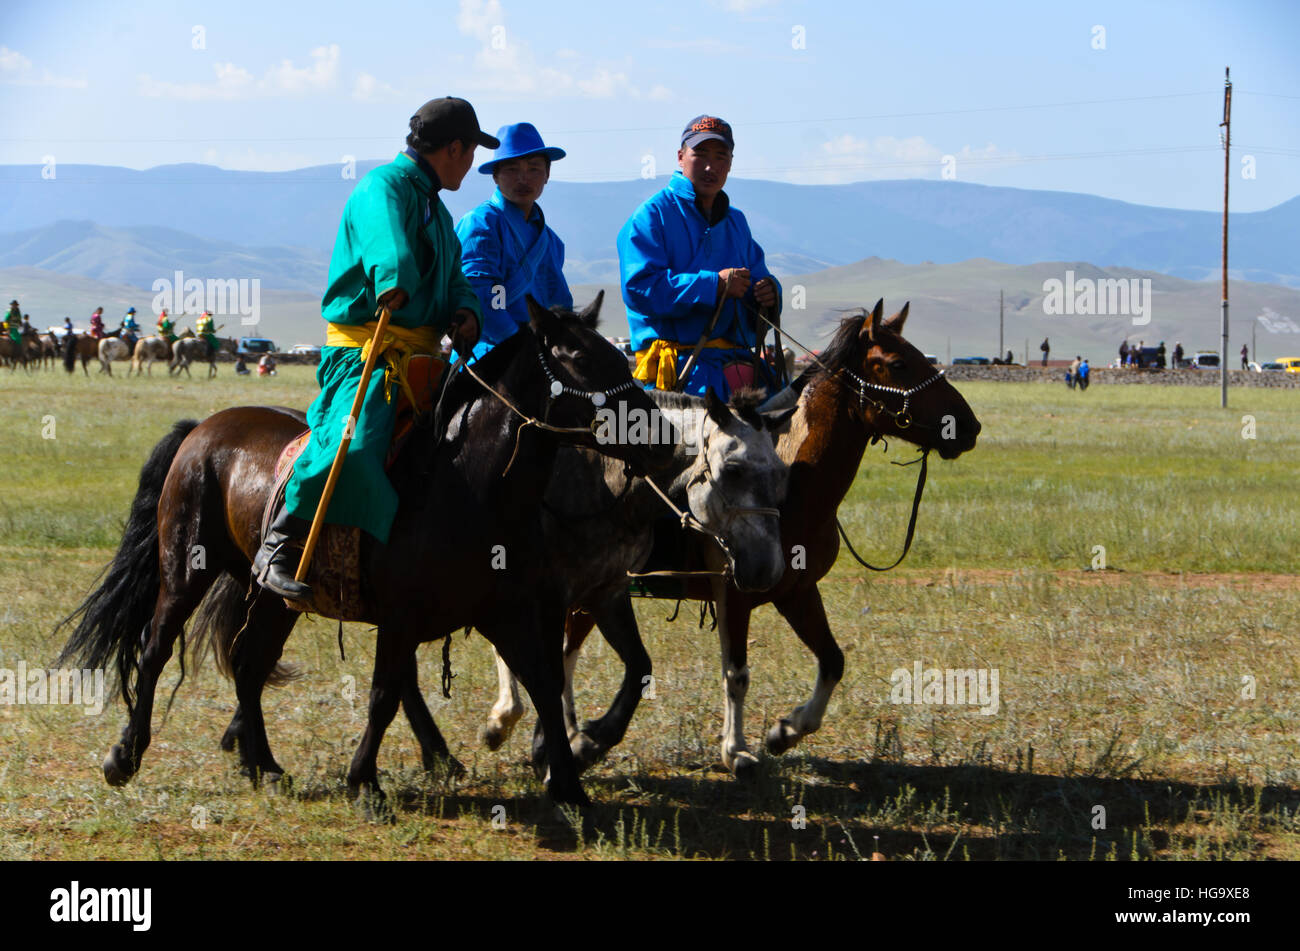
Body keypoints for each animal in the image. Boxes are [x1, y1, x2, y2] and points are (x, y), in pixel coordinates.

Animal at [56, 294, 674, 811]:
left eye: (620, 359)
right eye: (582, 359)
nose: (661, 438)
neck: (466, 484)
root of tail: (202, 430)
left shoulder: (511, 611)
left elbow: (544, 685)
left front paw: (568, 783)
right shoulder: (402, 618)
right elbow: (383, 694)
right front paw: (365, 781)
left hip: (272, 596)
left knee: (249, 664)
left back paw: (263, 764)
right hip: (185, 571)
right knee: (156, 650)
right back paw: (125, 756)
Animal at [494, 301, 983, 776]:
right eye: (898, 364)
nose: (968, 426)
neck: (795, 485)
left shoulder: (797, 591)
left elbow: (832, 660)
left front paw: (786, 731)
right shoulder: (734, 593)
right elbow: (737, 672)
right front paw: (737, 750)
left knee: (558, 650)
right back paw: (522, 722)